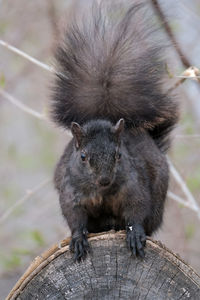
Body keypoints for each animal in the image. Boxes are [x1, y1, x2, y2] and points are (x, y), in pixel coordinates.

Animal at [50, 0, 179, 262]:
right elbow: (75, 218)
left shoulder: (135, 188)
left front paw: (135, 234)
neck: (103, 193)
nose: (104, 180)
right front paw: (77, 238)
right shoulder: (71, 193)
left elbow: (136, 212)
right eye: (82, 157)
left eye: (119, 155)